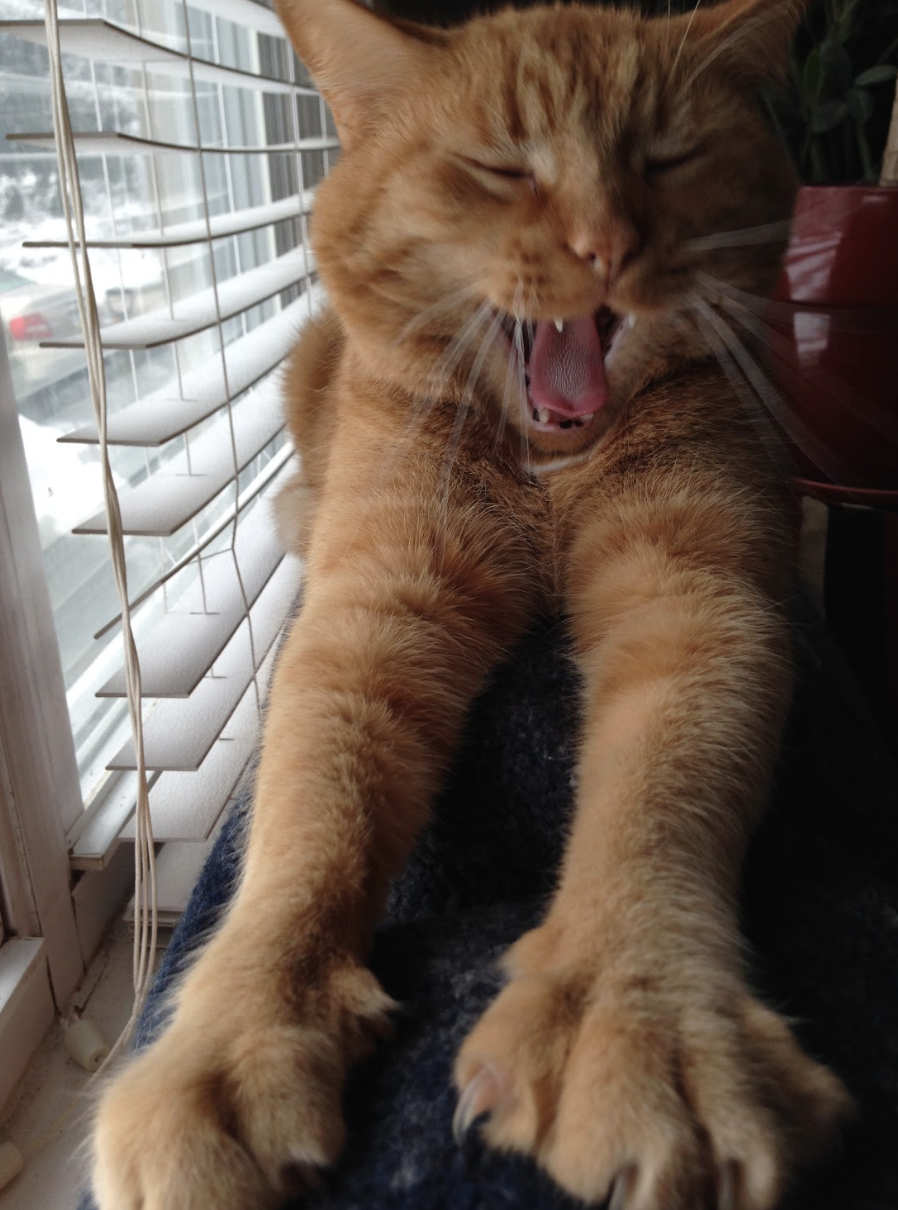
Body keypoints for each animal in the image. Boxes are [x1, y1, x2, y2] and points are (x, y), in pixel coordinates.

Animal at [95, 2, 856, 1210]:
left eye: (666, 156)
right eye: (500, 168)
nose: (605, 247)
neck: (546, 472)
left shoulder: (699, 602)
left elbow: (659, 800)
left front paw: (641, 1022)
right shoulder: (369, 620)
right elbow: (305, 823)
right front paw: (231, 1040)